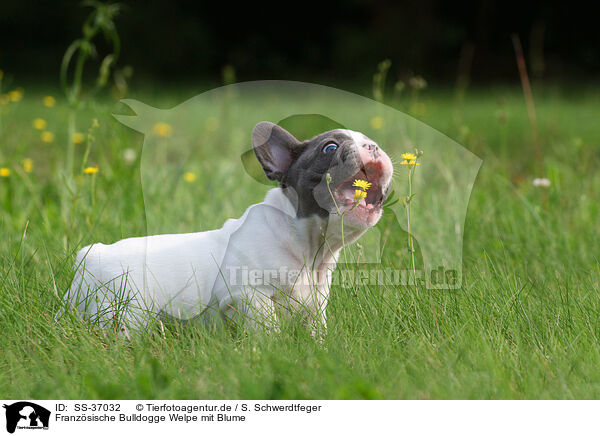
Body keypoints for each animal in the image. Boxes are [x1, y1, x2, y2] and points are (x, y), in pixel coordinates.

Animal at [62, 121, 394, 336]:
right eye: (330, 147)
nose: (373, 146)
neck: (308, 246)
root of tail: (88, 257)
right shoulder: (248, 294)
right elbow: (268, 328)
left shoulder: (314, 303)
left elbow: (316, 330)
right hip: (123, 310)